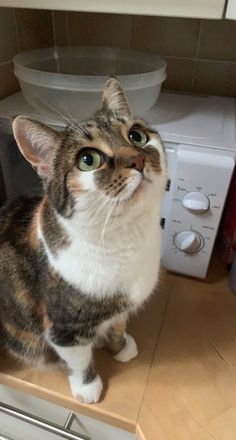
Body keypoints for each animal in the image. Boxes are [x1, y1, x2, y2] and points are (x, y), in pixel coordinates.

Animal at [0, 77, 166, 404]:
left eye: (137, 135)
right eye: (88, 160)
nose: (138, 159)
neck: (125, 239)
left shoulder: (121, 306)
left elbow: (118, 323)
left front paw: (120, 347)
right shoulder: (63, 328)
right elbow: (78, 359)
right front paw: (88, 386)